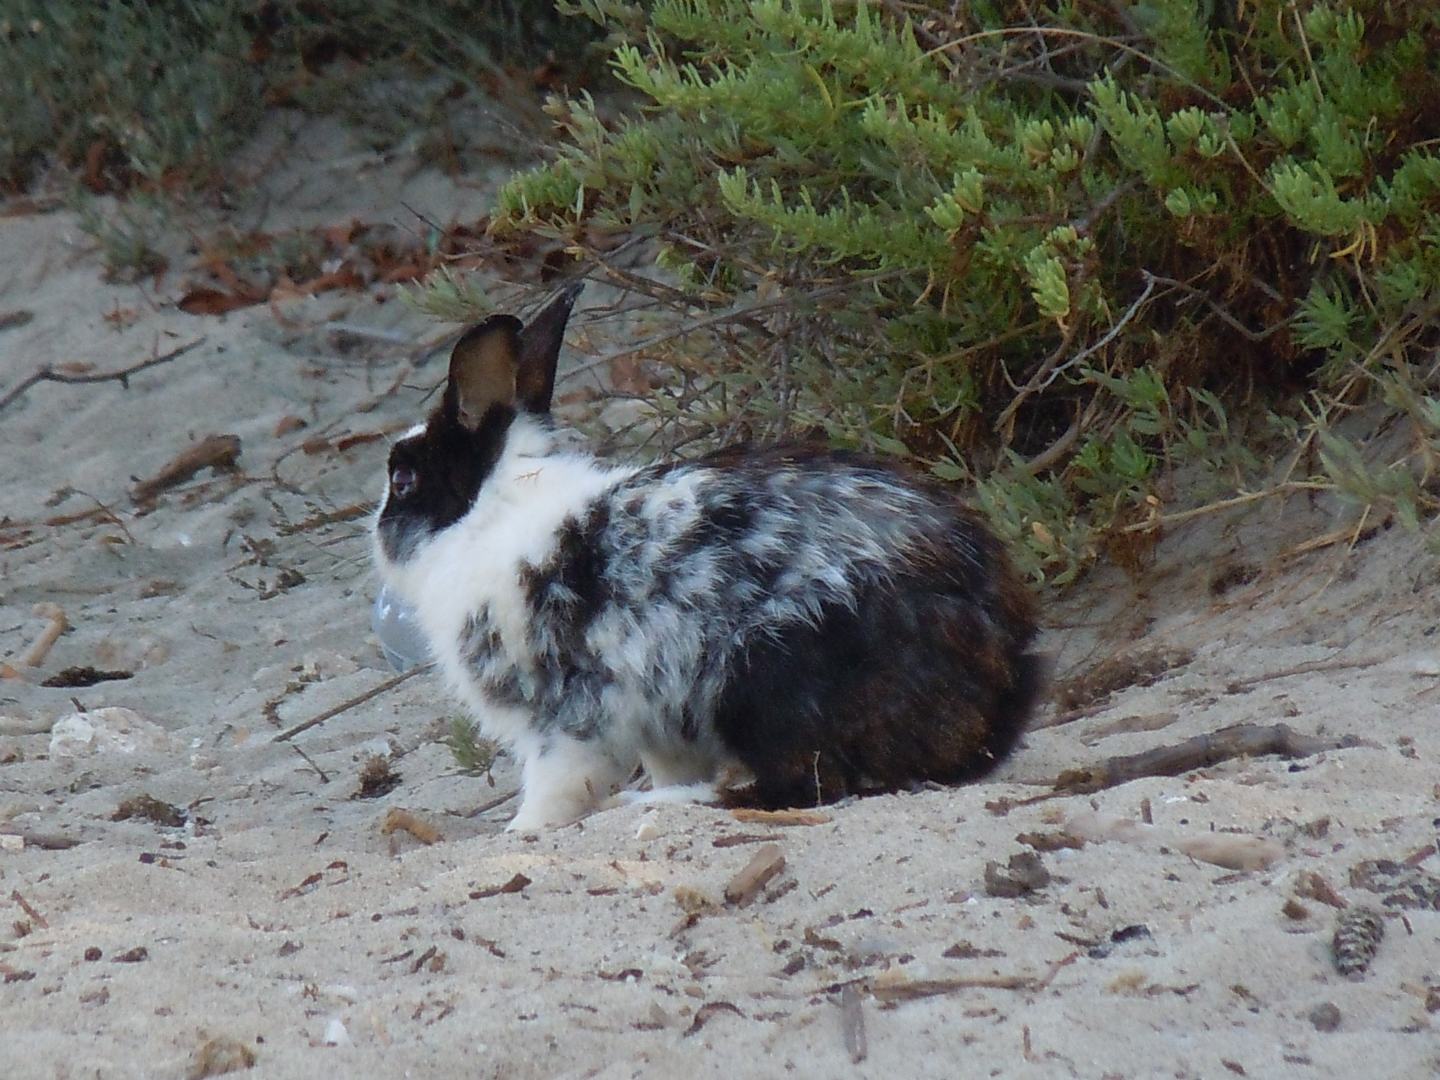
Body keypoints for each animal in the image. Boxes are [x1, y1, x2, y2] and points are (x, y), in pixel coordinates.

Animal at [377, 283, 1042, 835]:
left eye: (403, 480)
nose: (376, 536)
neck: (488, 512)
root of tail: (997, 670)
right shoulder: (658, 726)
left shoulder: (562, 723)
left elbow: (558, 784)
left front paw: (520, 833)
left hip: (762, 680)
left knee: (804, 785)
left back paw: (658, 804)